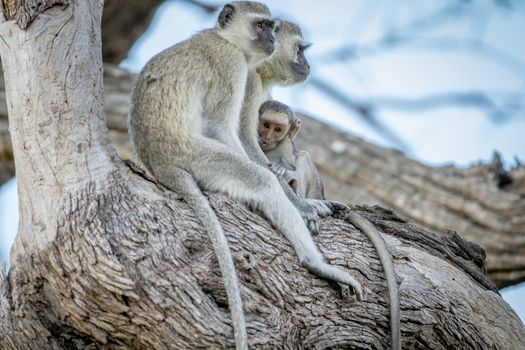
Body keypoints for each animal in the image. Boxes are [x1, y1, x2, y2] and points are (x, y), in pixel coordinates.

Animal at [129, 2, 362, 348]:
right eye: (263, 27)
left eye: (273, 28)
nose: (306, 64)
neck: (224, 38)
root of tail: (158, 160)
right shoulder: (237, 69)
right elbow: (230, 130)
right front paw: (302, 206)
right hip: (200, 156)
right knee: (257, 179)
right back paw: (316, 264)